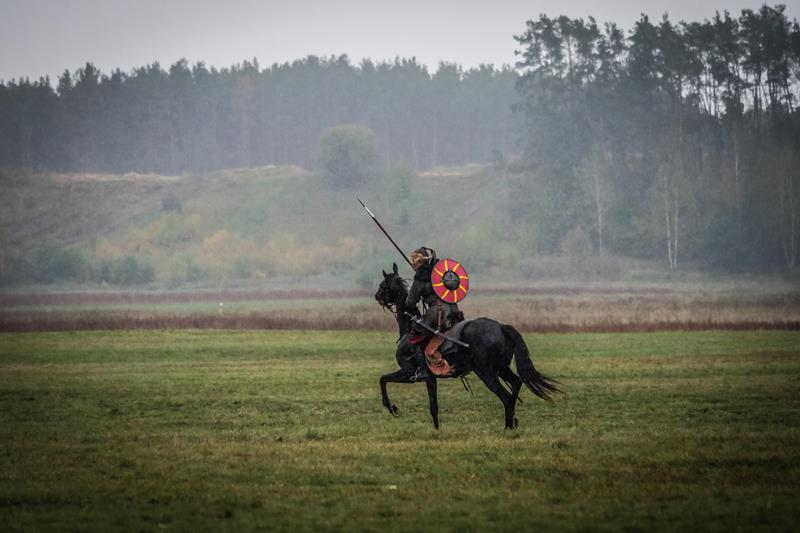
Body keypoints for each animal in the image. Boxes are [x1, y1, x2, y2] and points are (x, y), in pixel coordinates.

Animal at [374, 263, 559, 429]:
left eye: (383, 286)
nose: (377, 297)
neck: (409, 327)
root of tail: (501, 327)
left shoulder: (408, 373)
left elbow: (383, 379)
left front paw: (392, 407)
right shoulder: (431, 379)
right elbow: (434, 407)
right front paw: (437, 430)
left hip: (486, 373)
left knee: (506, 397)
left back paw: (508, 427)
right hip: (501, 368)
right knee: (515, 384)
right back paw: (513, 421)